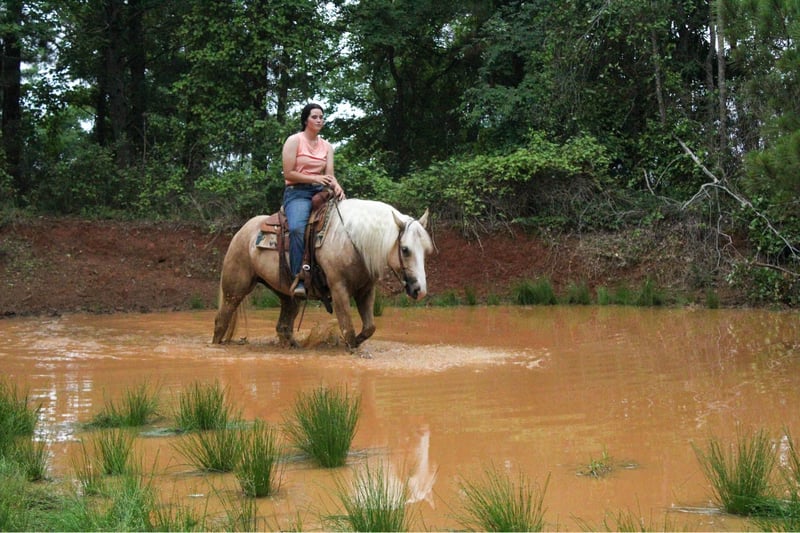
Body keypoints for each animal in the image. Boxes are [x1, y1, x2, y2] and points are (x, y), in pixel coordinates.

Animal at [212, 198, 433, 353]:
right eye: (405, 249)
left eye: (426, 250)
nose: (419, 290)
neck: (352, 240)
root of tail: (242, 231)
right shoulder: (338, 289)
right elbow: (348, 328)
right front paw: (352, 346)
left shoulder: (366, 290)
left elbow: (370, 327)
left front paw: (357, 342)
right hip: (235, 289)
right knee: (221, 321)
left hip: (288, 296)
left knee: (283, 326)